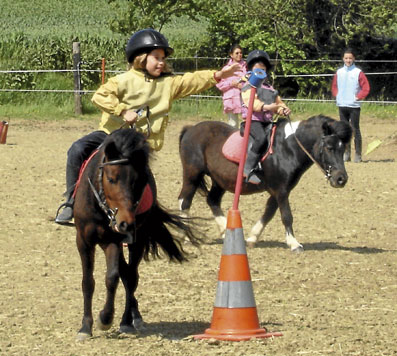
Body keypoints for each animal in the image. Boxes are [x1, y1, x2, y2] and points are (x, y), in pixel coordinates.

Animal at [72, 128, 198, 340]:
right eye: (111, 178)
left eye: (139, 182)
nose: (126, 223)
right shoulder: (83, 240)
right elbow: (88, 282)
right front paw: (85, 327)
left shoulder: (113, 240)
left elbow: (112, 277)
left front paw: (105, 318)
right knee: (127, 275)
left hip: (136, 241)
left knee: (131, 277)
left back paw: (128, 320)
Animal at [178, 115, 352, 252]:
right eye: (329, 147)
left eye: (343, 149)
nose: (341, 179)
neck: (288, 148)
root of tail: (191, 129)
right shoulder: (281, 190)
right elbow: (286, 215)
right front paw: (294, 244)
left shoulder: (280, 190)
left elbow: (269, 213)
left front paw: (252, 238)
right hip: (192, 175)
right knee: (184, 201)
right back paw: (186, 236)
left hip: (220, 180)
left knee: (212, 200)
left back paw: (226, 231)